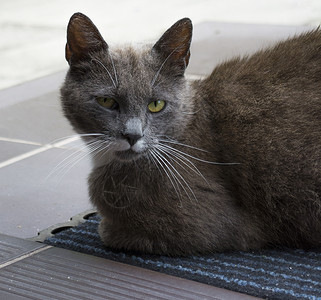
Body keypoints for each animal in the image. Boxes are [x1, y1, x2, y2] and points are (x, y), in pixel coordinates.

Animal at [60, 12, 320, 255]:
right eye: (106, 101)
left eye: (156, 104)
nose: (132, 135)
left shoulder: (214, 224)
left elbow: (108, 232)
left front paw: (104, 225)